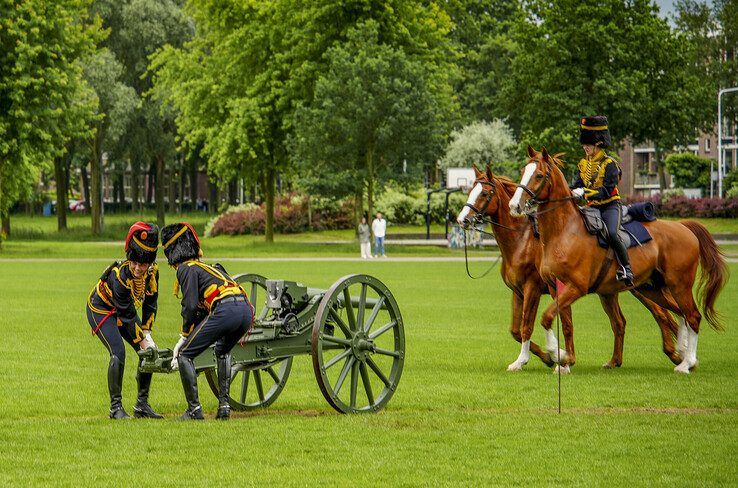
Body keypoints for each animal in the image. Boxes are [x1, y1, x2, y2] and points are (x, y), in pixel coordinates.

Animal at [460, 164, 680, 370]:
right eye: (470, 190)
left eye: (484, 193)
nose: (462, 219)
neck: (522, 240)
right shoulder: (518, 292)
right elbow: (516, 330)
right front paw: (548, 357)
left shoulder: (532, 289)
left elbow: (526, 326)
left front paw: (541, 357)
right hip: (612, 291)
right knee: (623, 322)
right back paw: (620, 360)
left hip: (639, 288)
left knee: (662, 314)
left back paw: (676, 353)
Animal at [506, 146, 724, 374]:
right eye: (523, 171)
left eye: (539, 175)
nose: (515, 205)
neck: (563, 232)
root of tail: (683, 226)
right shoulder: (555, 287)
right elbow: (561, 323)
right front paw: (561, 360)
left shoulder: (575, 288)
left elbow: (546, 317)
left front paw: (558, 355)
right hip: (652, 288)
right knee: (680, 313)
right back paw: (680, 353)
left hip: (678, 285)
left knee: (692, 316)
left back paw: (686, 362)